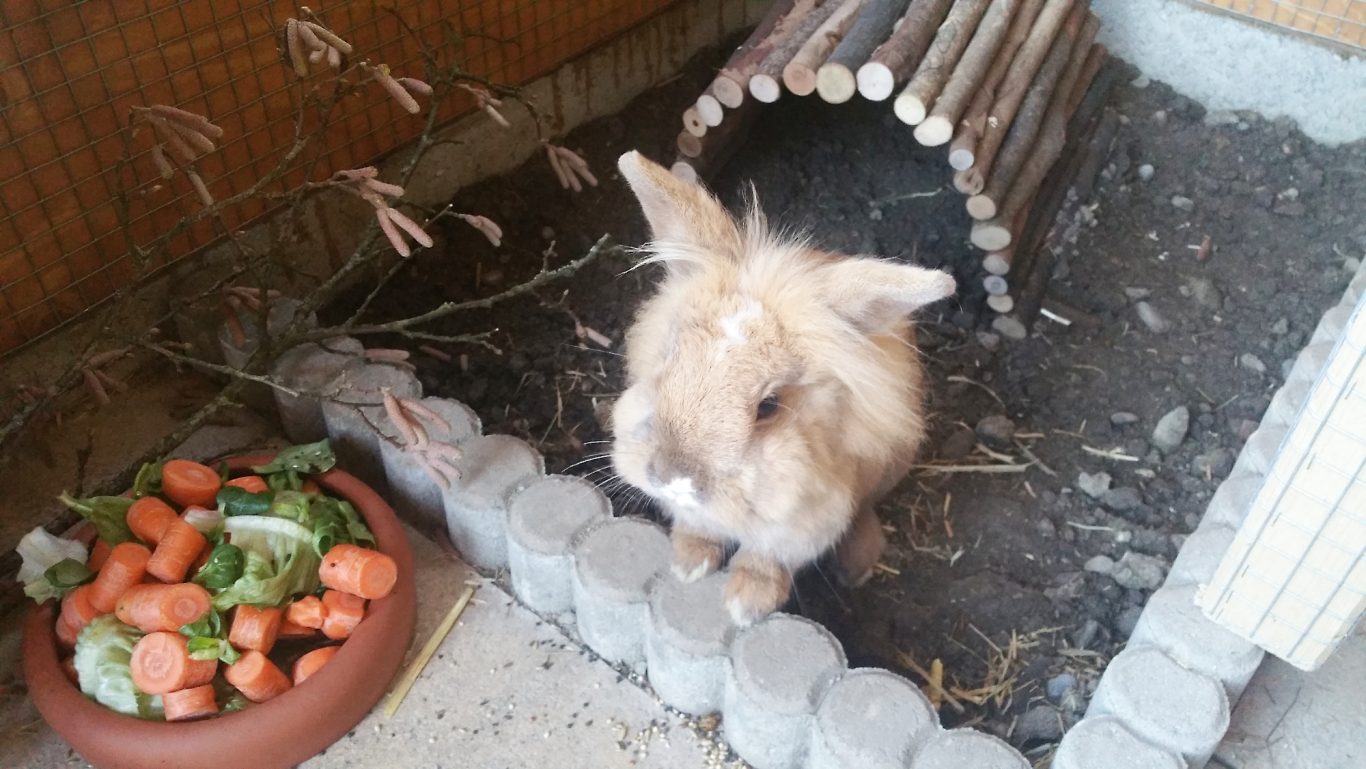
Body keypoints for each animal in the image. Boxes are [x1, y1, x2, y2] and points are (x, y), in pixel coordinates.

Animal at [609, 151, 956, 625]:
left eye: (769, 406)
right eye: (669, 357)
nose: (672, 478)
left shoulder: (804, 523)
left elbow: (766, 561)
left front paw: (745, 606)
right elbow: (696, 530)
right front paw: (687, 565)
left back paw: (859, 564)